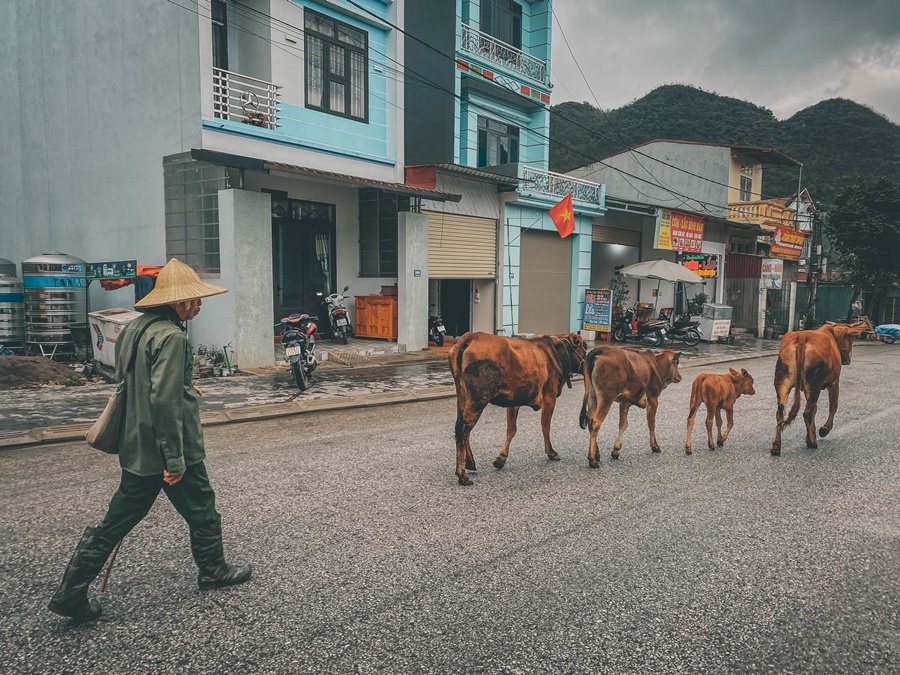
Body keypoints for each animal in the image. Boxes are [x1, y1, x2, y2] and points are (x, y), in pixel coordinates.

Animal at [448, 332, 588, 486]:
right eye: (584, 346)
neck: (556, 353)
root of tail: (471, 336)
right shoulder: (549, 398)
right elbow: (545, 427)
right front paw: (551, 452)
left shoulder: (514, 401)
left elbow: (511, 429)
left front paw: (501, 458)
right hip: (478, 398)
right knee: (463, 430)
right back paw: (462, 475)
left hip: (463, 395)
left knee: (462, 428)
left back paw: (470, 463)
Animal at [768, 320, 868, 456]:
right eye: (851, 338)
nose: (848, 360)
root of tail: (802, 337)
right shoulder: (834, 382)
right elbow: (833, 406)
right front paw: (824, 430)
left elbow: (815, 409)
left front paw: (813, 433)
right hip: (814, 384)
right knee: (806, 413)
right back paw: (812, 442)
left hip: (783, 383)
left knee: (781, 413)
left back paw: (776, 446)